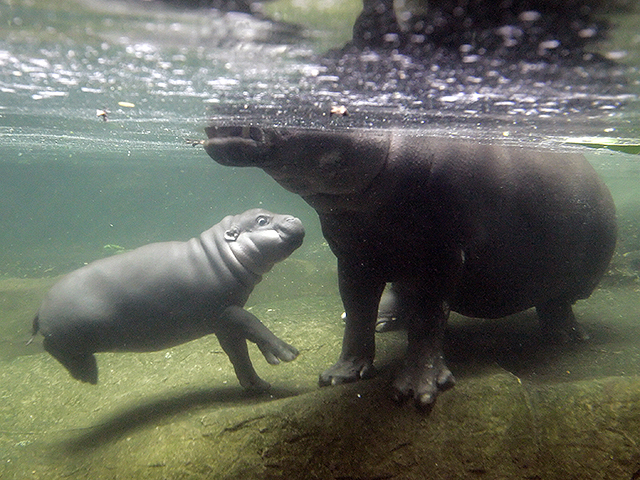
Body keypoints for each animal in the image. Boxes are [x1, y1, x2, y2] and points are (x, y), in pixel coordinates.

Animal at [31, 208, 306, 392]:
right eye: (262, 220)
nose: (295, 218)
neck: (220, 254)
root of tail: (39, 310)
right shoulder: (224, 310)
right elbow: (253, 322)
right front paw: (289, 353)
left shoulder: (222, 323)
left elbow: (239, 353)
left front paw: (259, 384)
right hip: (70, 334)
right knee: (50, 346)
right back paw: (88, 375)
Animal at [204, 125, 616, 406]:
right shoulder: (354, 254)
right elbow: (356, 312)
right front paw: (339, 376)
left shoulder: (440, 253)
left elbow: (430, 317)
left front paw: (418, 391)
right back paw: (386, 322)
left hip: (566, 276)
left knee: (555, 304)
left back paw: (568, 337)